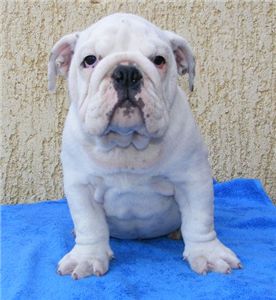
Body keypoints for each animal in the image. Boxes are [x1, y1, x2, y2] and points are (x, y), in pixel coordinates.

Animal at [48, 12, 240, 280]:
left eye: (159, 60)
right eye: (89, 60)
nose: (126, 72)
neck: (127, 142)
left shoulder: (193, 180)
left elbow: (199, 220)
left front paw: (208, 253)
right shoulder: (81, 186)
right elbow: (89, 224)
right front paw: (87, 257)